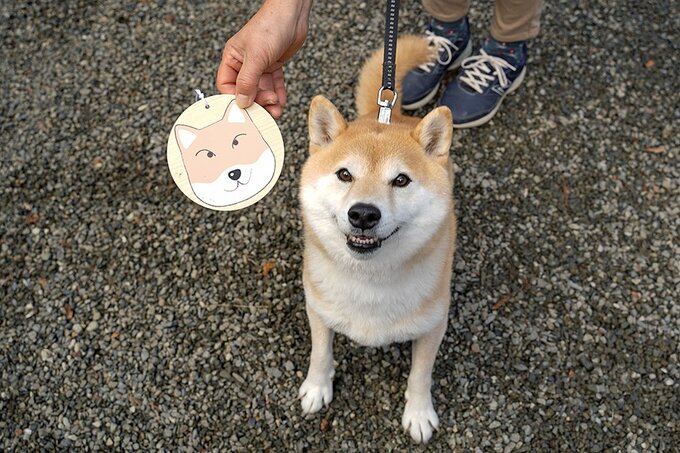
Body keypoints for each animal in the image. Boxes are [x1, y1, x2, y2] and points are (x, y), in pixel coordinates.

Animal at [298, 36, 454, 442]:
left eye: (401, 180)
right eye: (344, 174)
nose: (364, 214)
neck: (369, 281)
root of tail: (387, 113)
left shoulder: (434, 325)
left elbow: (421, 375)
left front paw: (419, 414)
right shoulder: (317, 309)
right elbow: (320, 354)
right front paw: (317, 387)